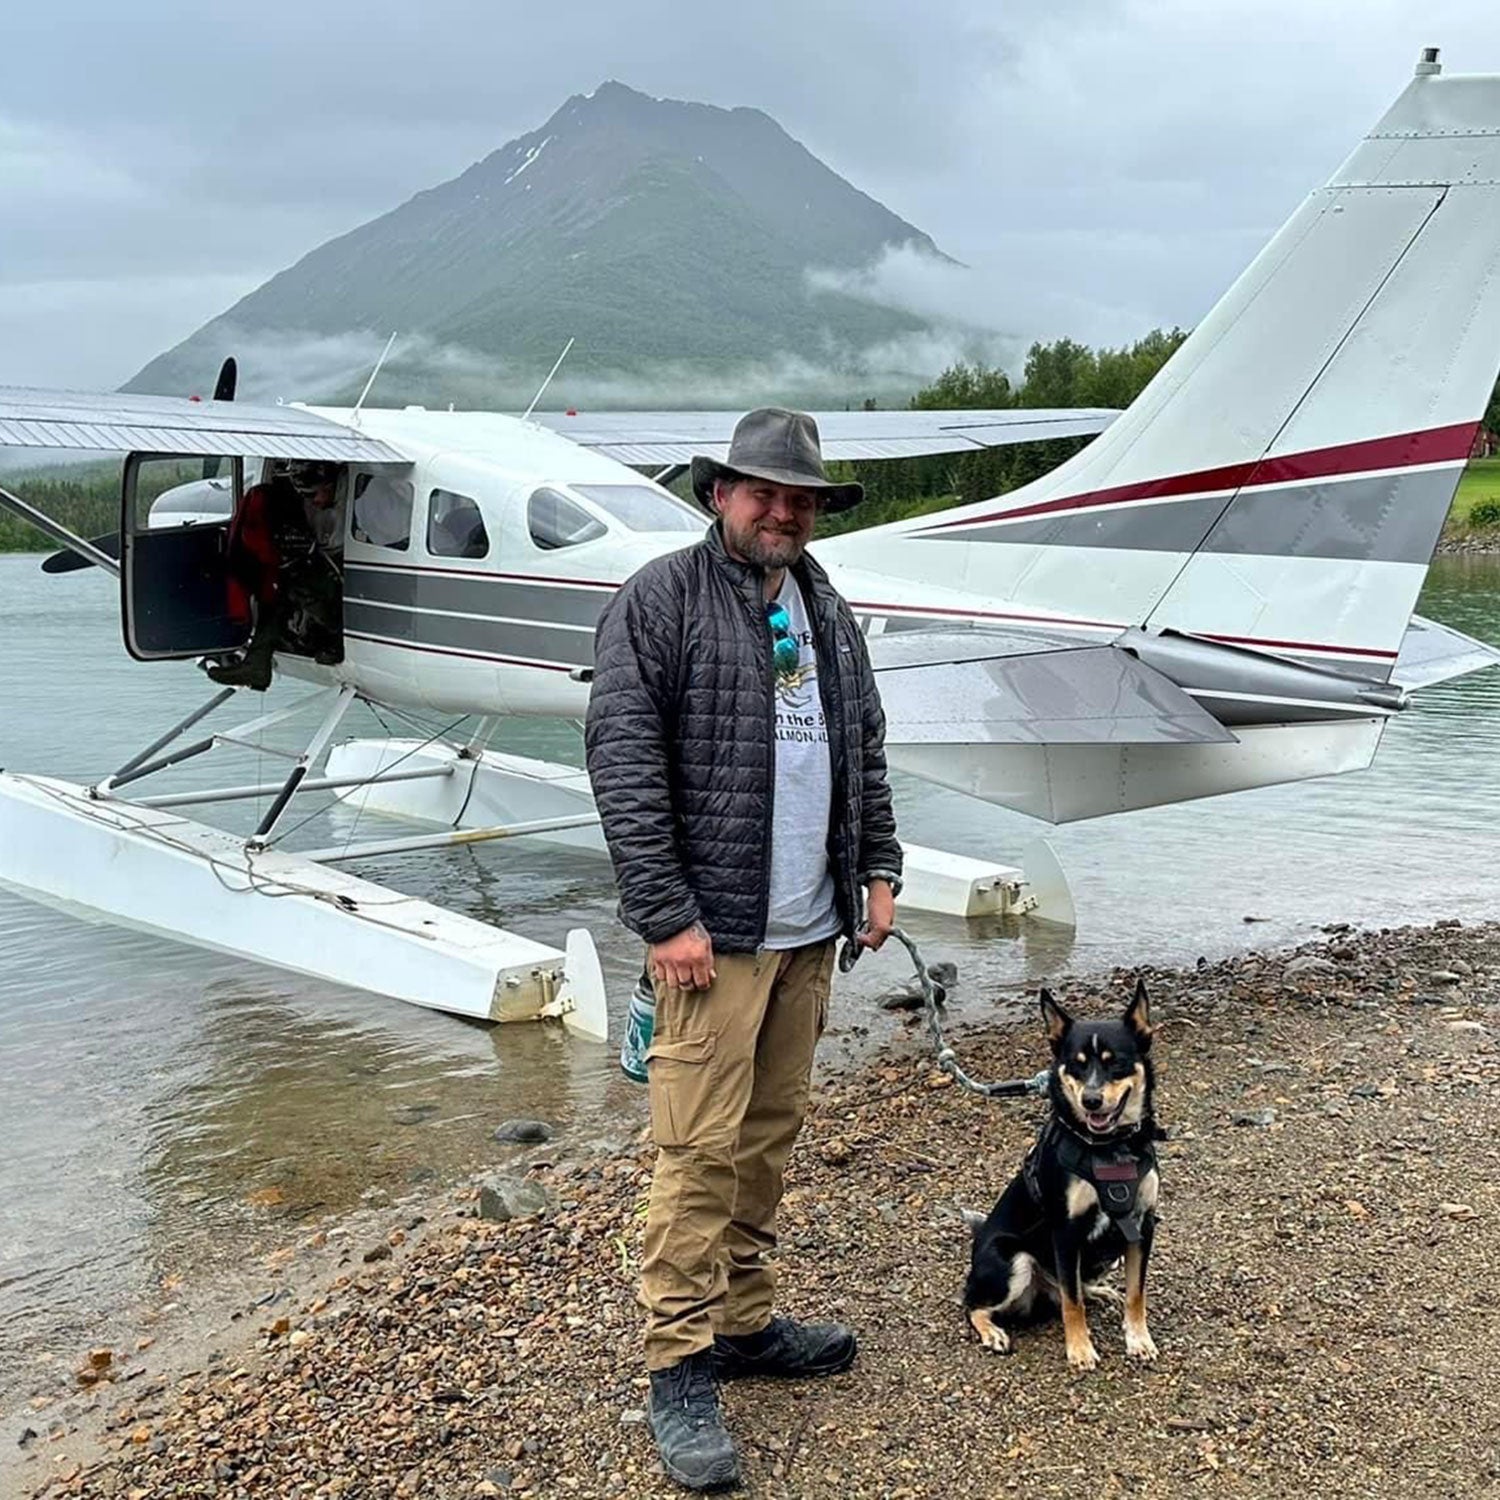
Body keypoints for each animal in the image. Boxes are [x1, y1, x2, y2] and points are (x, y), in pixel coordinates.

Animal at [960, 984, 1158, 1374]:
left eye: (1116, 1062)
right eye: (1076, 1065)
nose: (1092, 1100)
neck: (1108, 1147)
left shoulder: (1142, 1226)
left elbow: (1136, 1293)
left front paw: (1138, 1339)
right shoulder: (1066, 1233)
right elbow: (1071, 1303)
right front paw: (1080, 1349)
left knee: (1074, 1287)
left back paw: (1098, 1291)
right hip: (1014, 1260)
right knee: (973, 1303)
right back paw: (992, 1332)